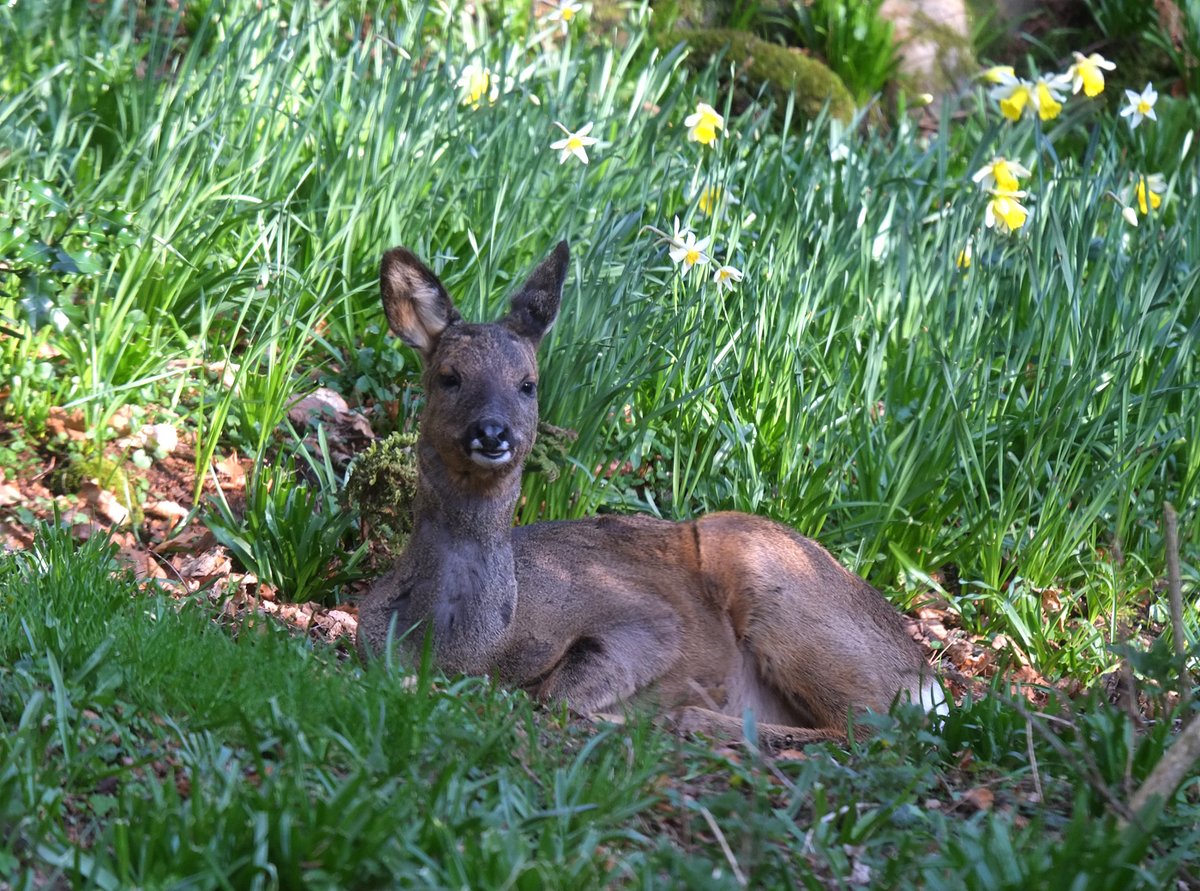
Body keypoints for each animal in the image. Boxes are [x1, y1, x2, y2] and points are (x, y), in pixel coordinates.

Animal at [355, 240, 948, 748]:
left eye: (528, 384)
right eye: (449, 377)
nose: (493, 433)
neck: (465, 646)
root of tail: (924, 679)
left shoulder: (645, 619)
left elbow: (559, 693)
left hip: (779, 585)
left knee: (867, 728)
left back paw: (685, 719)